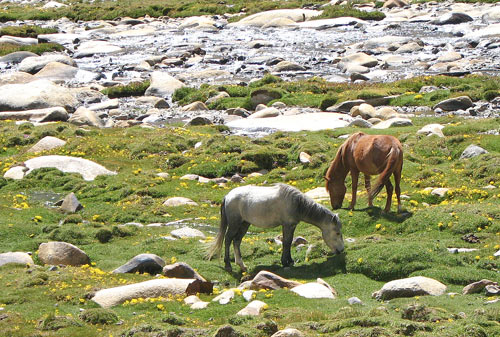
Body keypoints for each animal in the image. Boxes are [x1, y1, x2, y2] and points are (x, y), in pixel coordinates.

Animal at [206, 182, 344, 272]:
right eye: (337, 233)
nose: (341, 250)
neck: (297, 203)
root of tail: (227, 196)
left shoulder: (291, 225)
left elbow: (288, 242)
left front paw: (289, 261)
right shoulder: (287, 225)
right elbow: (287, 242)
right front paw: (285, 262)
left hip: (245, 224)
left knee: (236, 240)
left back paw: (242, 265)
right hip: (235, 224)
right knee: (228, 239)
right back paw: (228, 265)